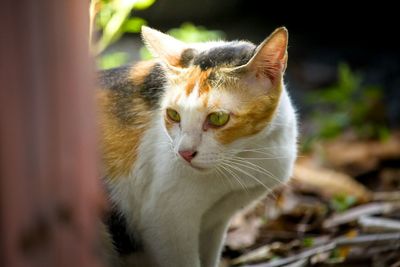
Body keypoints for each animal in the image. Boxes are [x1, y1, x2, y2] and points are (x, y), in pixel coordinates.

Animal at [97, 25, 296, 267]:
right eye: (173, 114)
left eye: (218, 118)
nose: (184, 153)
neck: (247, 153)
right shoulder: (168, 222)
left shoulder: (215, 222)